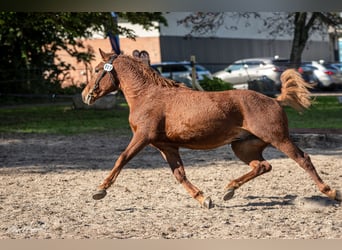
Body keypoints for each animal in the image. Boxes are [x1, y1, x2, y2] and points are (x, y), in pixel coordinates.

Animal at [81, 49, 340, 209]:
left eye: (97, 69)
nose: (85, 95)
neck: (147, 95)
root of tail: (275, 100)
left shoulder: (142, 137)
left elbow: (121, 159)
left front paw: (100, 190)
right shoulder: (166, 146)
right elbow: (179, 174)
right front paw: (204, 199)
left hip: (279, 138)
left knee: (303, 159)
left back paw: (331, 192)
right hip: (243, 147)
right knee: (262, 165)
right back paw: (229, 189)